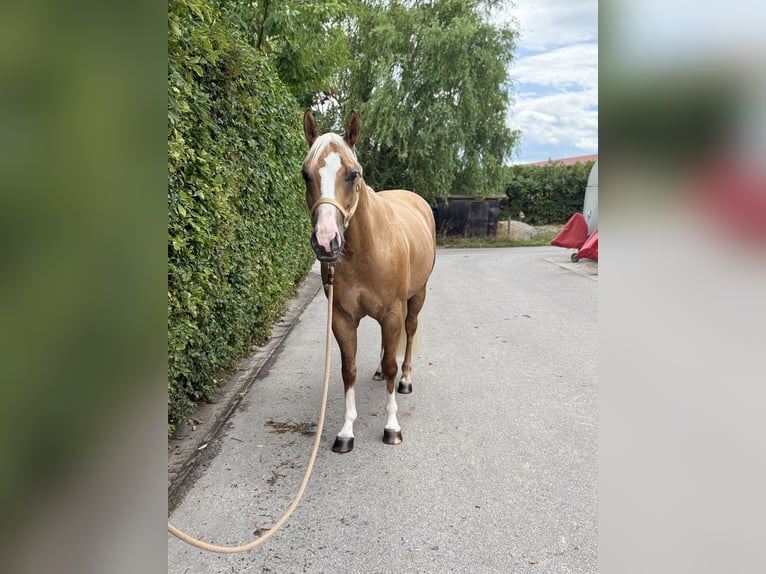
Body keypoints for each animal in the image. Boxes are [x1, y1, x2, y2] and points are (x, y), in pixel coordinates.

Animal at [301, 109, 436, 453]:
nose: (326, 242)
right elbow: (348, 369)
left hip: (416, 298)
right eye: (306, 174)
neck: (365, 252)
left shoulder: (392, 313)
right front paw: (346, 431)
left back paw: (405, 380)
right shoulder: (342, 318)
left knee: (409, 334)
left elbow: (392, 363)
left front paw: (392, 427)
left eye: (353, 174)